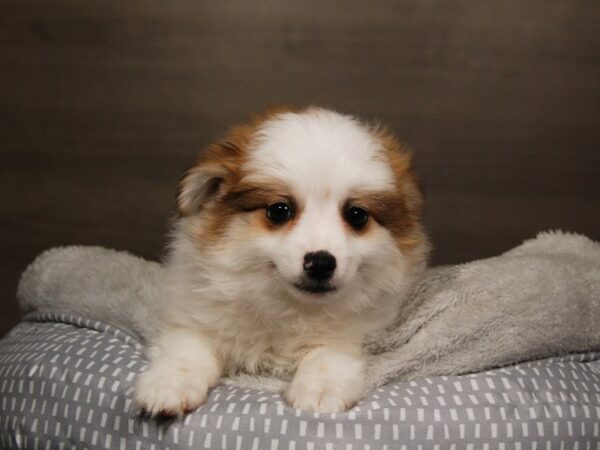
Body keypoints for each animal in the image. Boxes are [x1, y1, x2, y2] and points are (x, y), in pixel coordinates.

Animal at [135, 107, 428, 416]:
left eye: (357, 215)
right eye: (279, 211)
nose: (321, 262)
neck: (287, 307)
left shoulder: (356, 329)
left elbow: (328, 352)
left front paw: (321, 387)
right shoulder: (194, 317)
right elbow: (187, 349)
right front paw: (169, 384)